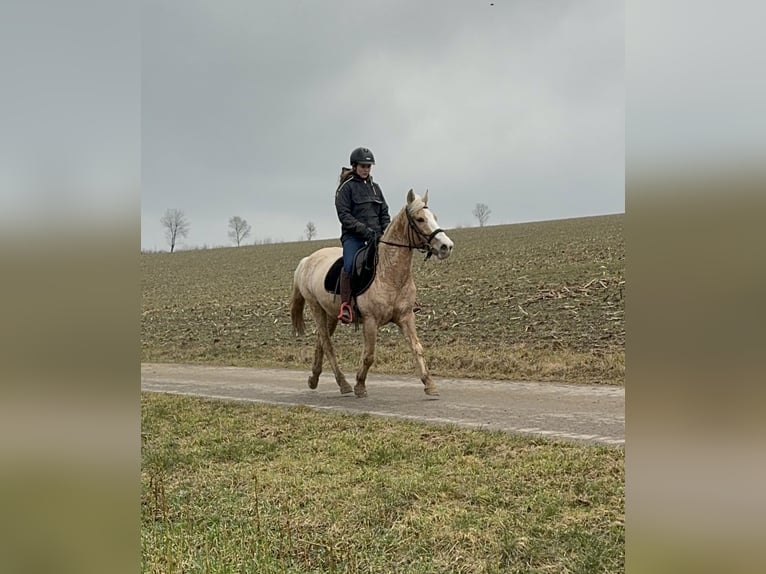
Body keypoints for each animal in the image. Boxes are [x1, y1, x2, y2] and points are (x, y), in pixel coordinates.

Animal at [292, 191, 452, 398]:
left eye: (435, 217)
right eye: (420, 219)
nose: (446, 246)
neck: (389, 273)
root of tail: (307, 260)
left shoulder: (406, 317)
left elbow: (417, 348)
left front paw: (430, 384)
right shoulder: (370, 320)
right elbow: (369, 355)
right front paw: (360, 385)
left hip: (331, 313)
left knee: (321, 340)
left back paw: (314, 379)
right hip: (316, 307)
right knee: (327, 343)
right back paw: (343, 383)